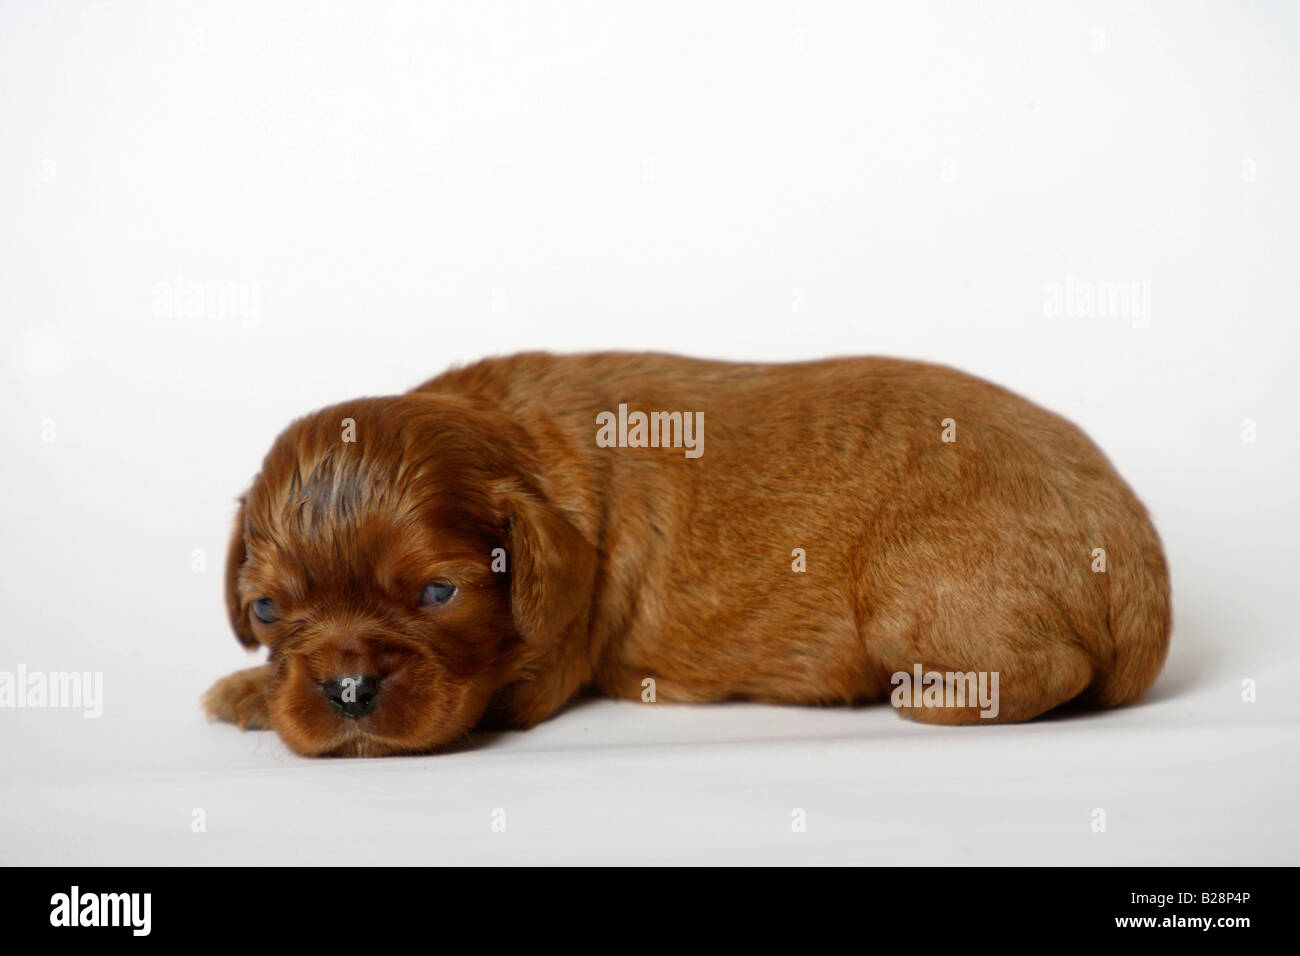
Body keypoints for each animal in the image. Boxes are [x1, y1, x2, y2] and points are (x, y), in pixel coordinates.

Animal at [202, 356, 1170, 759]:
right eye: (266, 609)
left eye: (440, 593)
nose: (348, 690)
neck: (525, 440)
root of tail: (1139, 561)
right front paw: (253, 687)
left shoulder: (543, 664)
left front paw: (248, 697)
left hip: (914, 595)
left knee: (1049, 669)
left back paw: (935, 701)